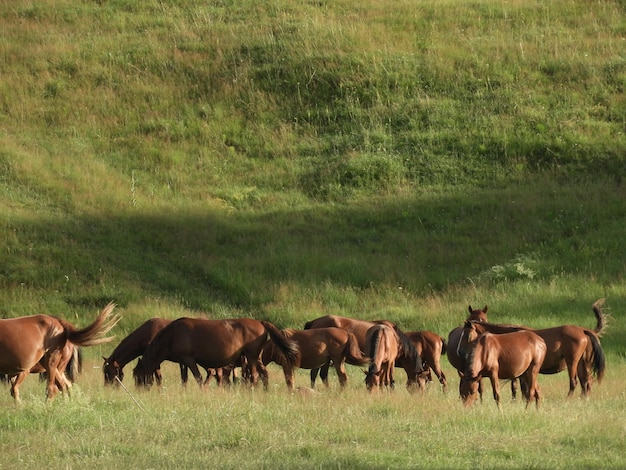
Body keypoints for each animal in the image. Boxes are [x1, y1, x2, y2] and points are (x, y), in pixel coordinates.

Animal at [132, 318, 298, 392]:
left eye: (138, 376)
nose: (139, 391)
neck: (172, 334)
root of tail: (261, 322)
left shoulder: (188, 359)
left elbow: (198, 377)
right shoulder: (183, 361)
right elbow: (185, 378)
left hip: (251, 356)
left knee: (255, 375)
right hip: (256, 357)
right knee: (264, 373)